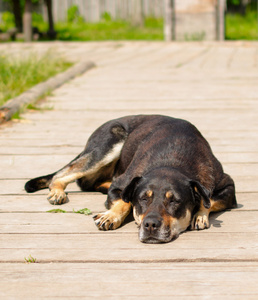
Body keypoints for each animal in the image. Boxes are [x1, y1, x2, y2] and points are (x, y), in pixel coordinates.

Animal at [25, 115, 237, 244]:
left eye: (175, 201)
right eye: (143, 199)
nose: (150, 225)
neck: (172, 162)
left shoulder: (228, 188)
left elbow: (208, 200)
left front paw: (200, 215)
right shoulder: (121, 185)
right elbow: (125, 200)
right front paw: (110, 215)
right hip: (107, 145)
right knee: (61, 175)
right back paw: (57, 192)